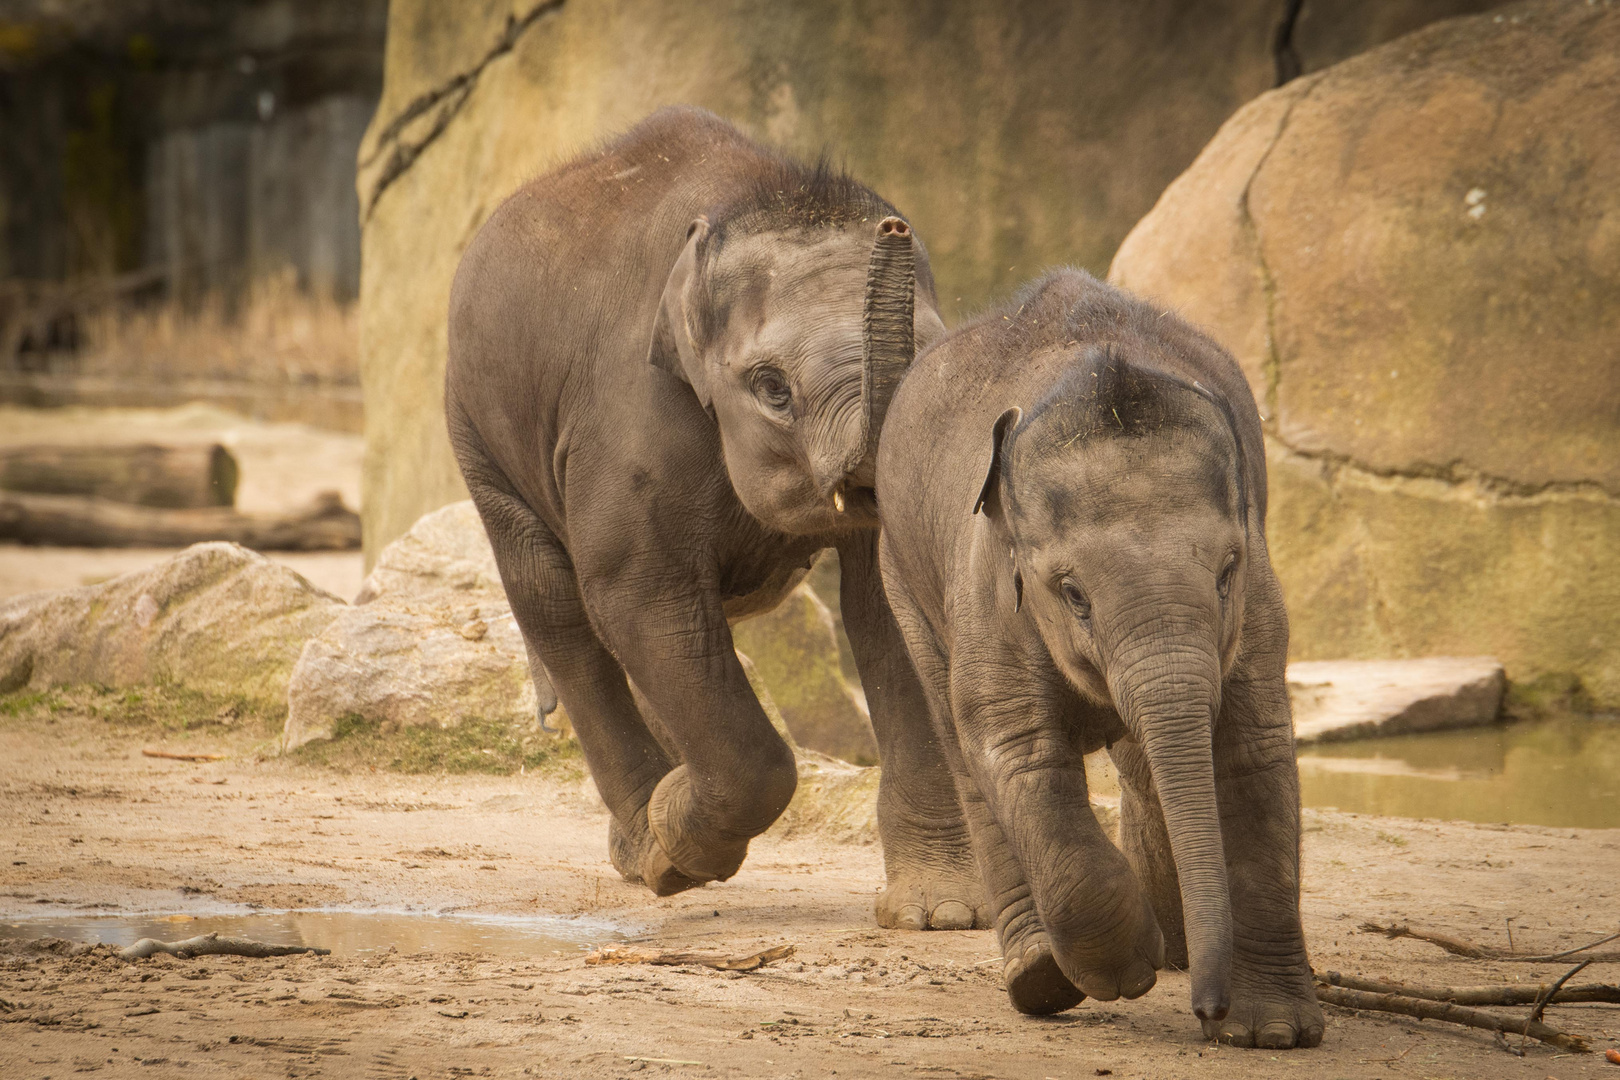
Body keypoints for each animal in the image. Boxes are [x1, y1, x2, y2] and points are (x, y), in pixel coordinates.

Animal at [443, 107, 984, 932]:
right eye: (771, 387)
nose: (893, 227)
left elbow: (887, 614)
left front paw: (940, 914)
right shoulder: (631, 414)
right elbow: (639, 593)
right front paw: (676, 851)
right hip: (478, 428)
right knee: (558, 607)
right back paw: (646, 845)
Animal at [881, 263, 1321, 1049]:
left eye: (1226, 572)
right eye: (1073, 593)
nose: (1209, 1013)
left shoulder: (1261, 599)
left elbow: (1254, 748)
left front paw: (1275, 1033)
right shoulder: (988, 580)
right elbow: (1016, 748)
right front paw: (1126, 971)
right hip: (905, 580)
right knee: (965, 752)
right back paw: (1045, 978)